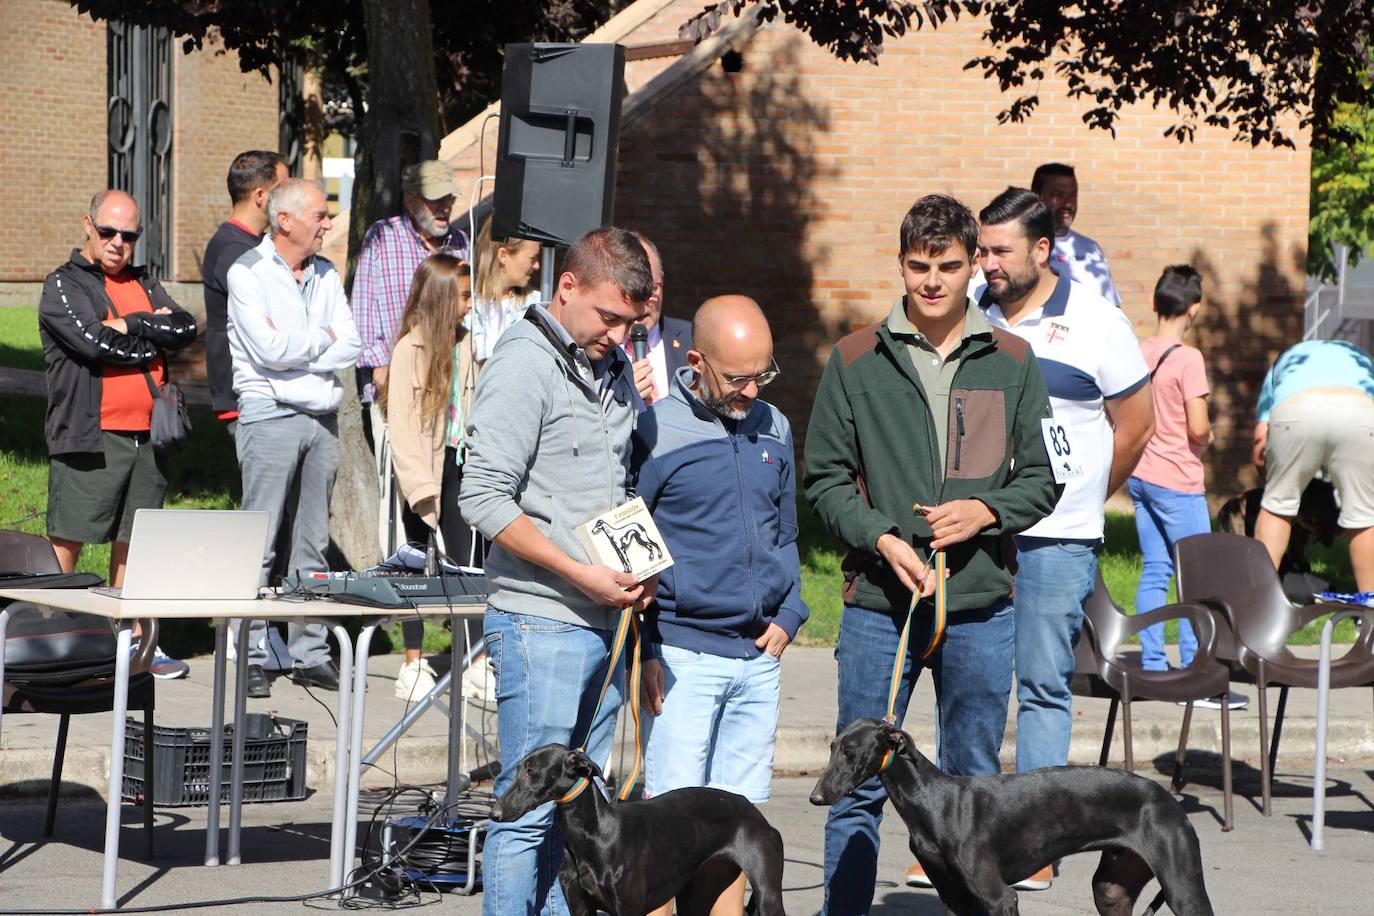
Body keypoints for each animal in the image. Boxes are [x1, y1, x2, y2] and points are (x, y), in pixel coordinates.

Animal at [491, 747, 785, 916]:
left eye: (532, 772)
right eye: (519, 769)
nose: (494, 813)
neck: (596, 833)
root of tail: (749, 807)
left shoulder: (629, 908)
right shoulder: (581, 907)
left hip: (768, 894)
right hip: (698, 892)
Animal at [802, 719, 1214, 911]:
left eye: (851, 753)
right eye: (832, 747)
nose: (816, 796)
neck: (932, 800)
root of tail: (1167, 797)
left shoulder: (999, 897)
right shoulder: (954, 896)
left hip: (1183, 888)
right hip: (1112, 889)